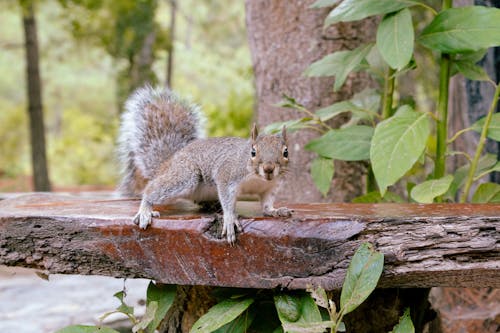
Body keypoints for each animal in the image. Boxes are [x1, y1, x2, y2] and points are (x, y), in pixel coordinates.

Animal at [117, 84, 292, 243]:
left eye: (286, 152)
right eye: (253, 152)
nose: (268, 169)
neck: (257, 179)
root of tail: (167, 162)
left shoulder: (270, 188)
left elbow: (267, 204)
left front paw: (276, 211)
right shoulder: (227, 175)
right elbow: (227, 199)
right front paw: (230, 218)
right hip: (186, 176)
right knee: (151, 189)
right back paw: (145, 210)